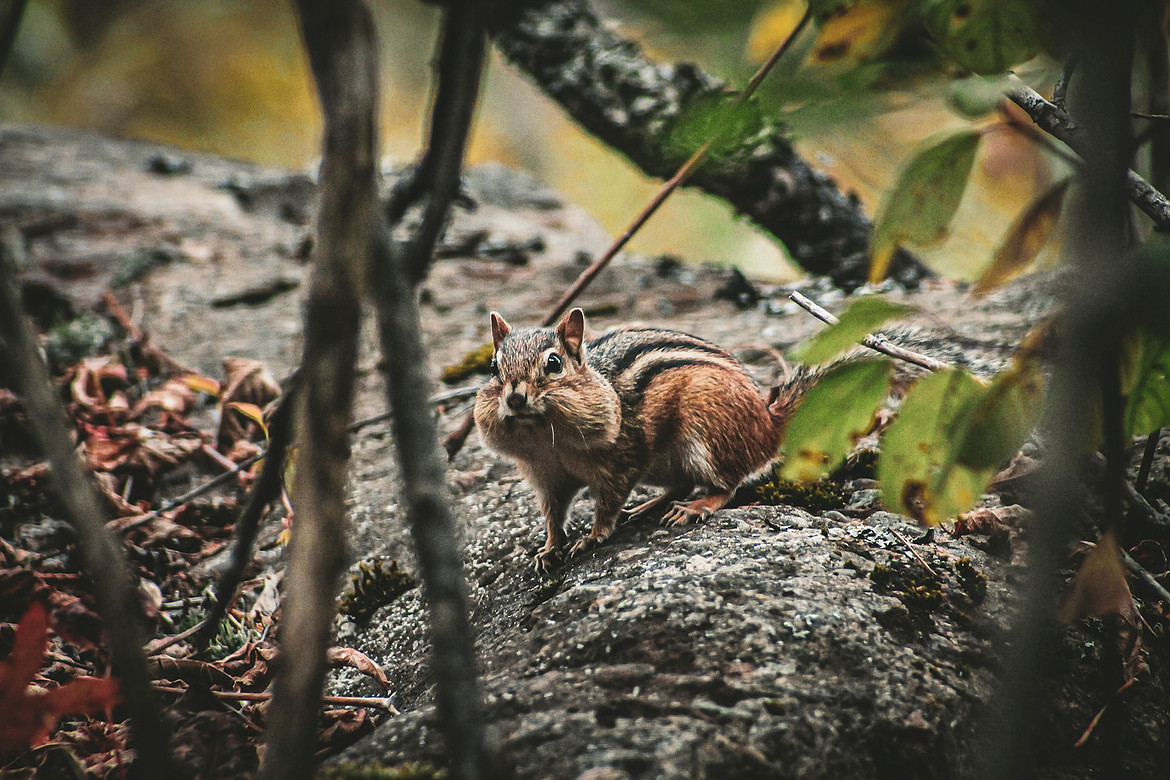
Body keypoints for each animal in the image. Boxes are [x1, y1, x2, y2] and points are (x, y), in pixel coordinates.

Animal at [473, 307, 809, 574]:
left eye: (554, 363)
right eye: (493, 367)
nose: (515, 398)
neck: (548, 439)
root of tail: (768, 421)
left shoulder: (621, 461)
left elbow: (607, 505)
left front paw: (591, 537)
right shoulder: (545, 475)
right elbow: (553, 514)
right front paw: (548, 549)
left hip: (707, 434)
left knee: (727, 485)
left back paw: (694, 507)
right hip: (662, 465)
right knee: (683, 483)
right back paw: (646, 507)